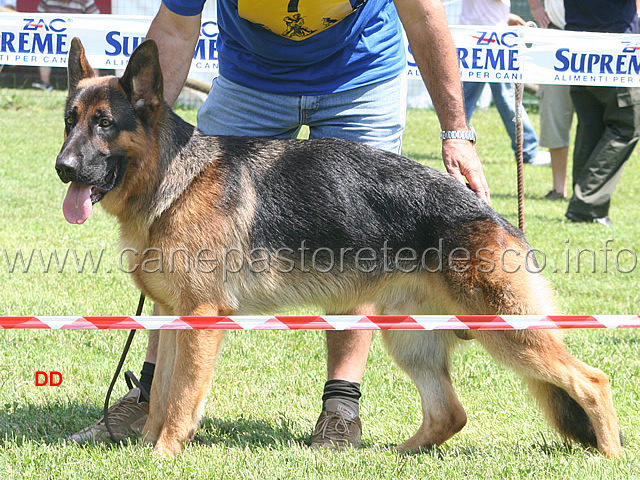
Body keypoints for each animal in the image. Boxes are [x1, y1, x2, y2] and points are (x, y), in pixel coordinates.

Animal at [55, 37, 620, 458]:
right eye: (69, 120)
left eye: (105, 123)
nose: (62, 167)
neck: (174, 179)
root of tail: (494, 216)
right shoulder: (173, 316)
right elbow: (160, 396)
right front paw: (146, 447)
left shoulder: (201, 319)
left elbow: (179, 400)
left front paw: (163, 454)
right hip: (409, 338)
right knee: (450, 414)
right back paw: (394, 455)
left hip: (507, 330)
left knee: (592, 380)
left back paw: (611, 455)